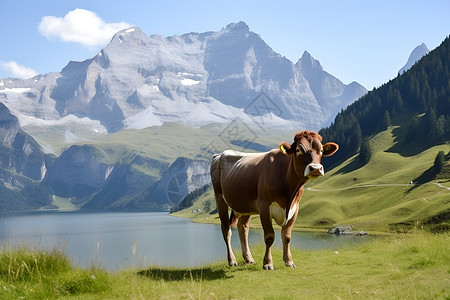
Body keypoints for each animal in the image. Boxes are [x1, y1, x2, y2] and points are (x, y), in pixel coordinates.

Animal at [211, 131, 338, 270]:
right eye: (298, 150)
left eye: (321, 150)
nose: (315, 168)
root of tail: (218, 155)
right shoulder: (264, 206)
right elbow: (269, 236)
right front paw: (267, 263)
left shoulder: (295, 208)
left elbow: (287, 236)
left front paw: (289, 261)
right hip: (219, 198)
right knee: (226, 230)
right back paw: (232, 261)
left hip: (245, 205)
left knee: (242, 228)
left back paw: (248, 258)